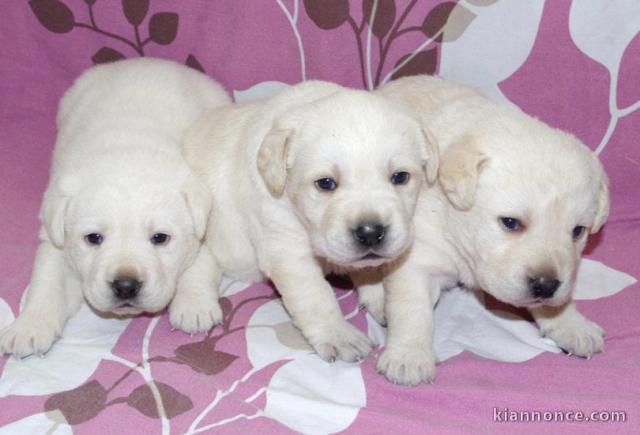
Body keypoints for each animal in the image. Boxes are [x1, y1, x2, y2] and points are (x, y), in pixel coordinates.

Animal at [0, 58, 230, 358]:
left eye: (160, 238)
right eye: (93, 238)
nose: (126, 285)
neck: (128, 150)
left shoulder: (206, 218)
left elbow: (200, 262)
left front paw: (195, 306)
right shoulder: (54, 239)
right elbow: (47, 283)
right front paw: (29, 326)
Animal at [182, 82, 438, 364]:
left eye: (400, 177)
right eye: (325, 183)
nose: (371, 233)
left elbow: (371, 268)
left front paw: (381, 297)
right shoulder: (288, 253)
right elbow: (316, 297)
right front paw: (339, 335)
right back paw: (194, 307)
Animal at [376, 76, 608, 386]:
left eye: (578, 231)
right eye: (510, 223)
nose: (546, 285)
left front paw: (570, 324)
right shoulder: (417, 258)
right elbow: (411, 308)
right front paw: (408, 356)